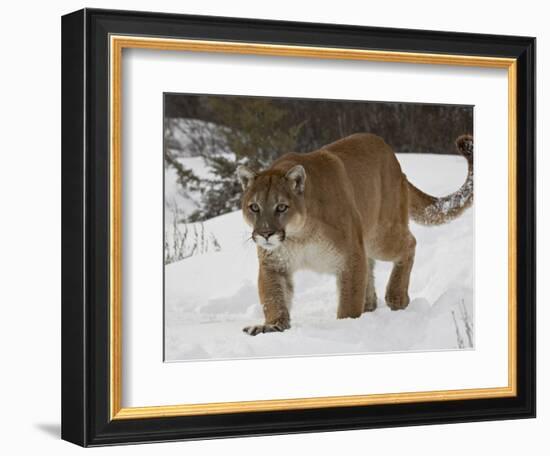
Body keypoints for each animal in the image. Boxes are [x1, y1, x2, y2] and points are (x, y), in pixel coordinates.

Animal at [237, 132, 474, 334]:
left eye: (281, 207)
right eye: (254, 207)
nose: (266, 234)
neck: (299, 235)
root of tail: (396, 162)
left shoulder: (349, 257)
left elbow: (349, 302)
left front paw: (346, 327)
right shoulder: (274, 264)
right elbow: (273, 298)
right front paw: (271, 326)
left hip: (380, 236)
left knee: (410, 243)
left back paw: (396, 297)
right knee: (370, 269)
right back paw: (370, 305)